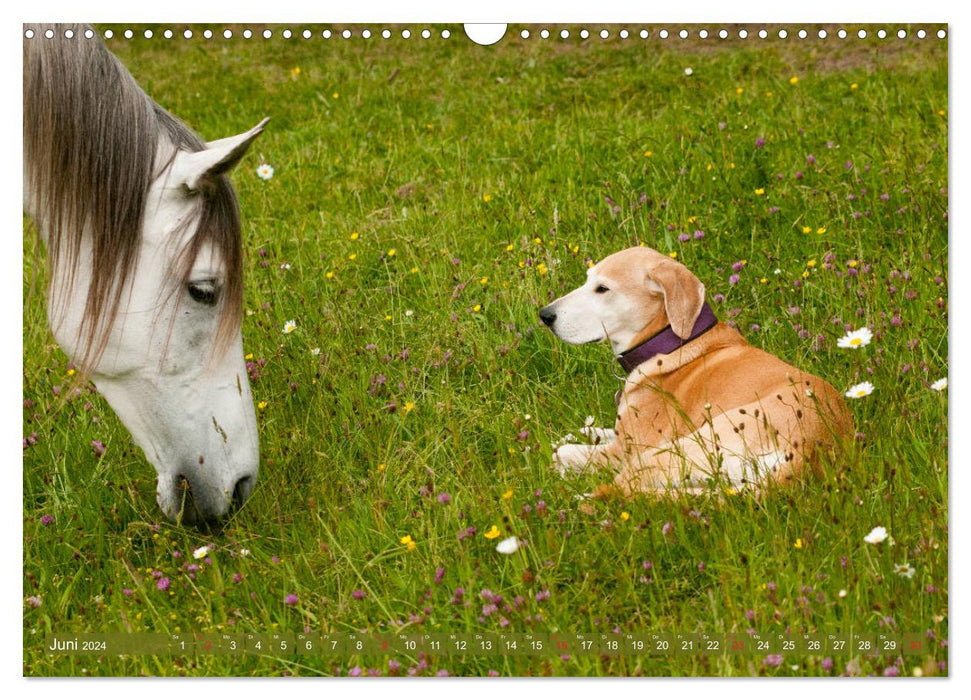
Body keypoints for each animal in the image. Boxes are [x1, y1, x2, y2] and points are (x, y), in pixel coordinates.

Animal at [544, 246, 856, 492]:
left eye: (602, 289)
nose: (544, 315)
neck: (670, 343)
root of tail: (811, 450)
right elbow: (587, 432)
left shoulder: (624, 450)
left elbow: (562, 451)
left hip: (666, 453)